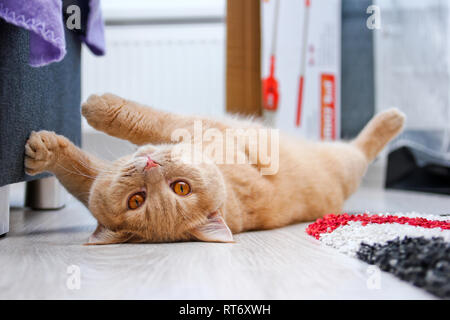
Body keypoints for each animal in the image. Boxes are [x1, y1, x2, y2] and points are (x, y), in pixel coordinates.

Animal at [23, 94, 404, 244]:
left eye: (180, 188)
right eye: (137, 200)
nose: (150, 165)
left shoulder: (194, 127)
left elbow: (138, 118)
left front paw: (97, 107)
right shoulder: (92, 183)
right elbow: (79, 168)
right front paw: (46, 153)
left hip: (345, 157)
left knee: (363, 148)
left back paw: (393, 118)